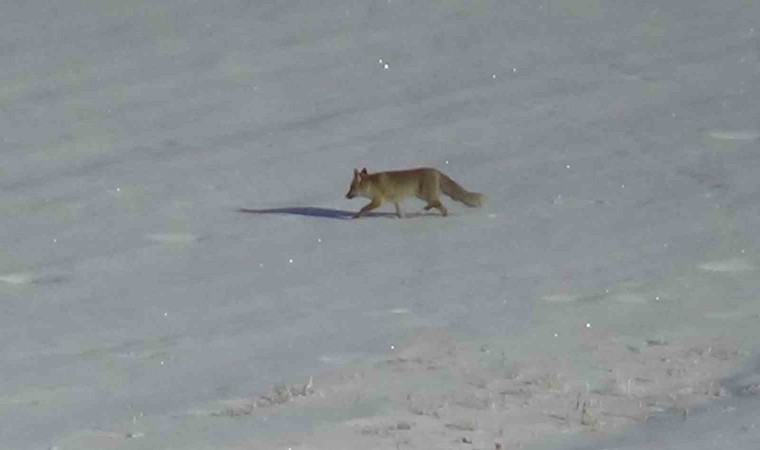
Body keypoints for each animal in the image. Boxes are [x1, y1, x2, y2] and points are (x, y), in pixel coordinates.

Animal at [345, 167, 484, 219]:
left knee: (435, 203)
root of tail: (436, 171)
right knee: (441, 206)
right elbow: (400, 213)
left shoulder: (377, 201)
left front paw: (355, 217)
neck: (372, 185)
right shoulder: (397, 201)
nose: (345, 196)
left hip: (424, 195)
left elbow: (363, 209)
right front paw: (401, 219)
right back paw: (444, 216)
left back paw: (421, 212)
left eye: (351, 188)